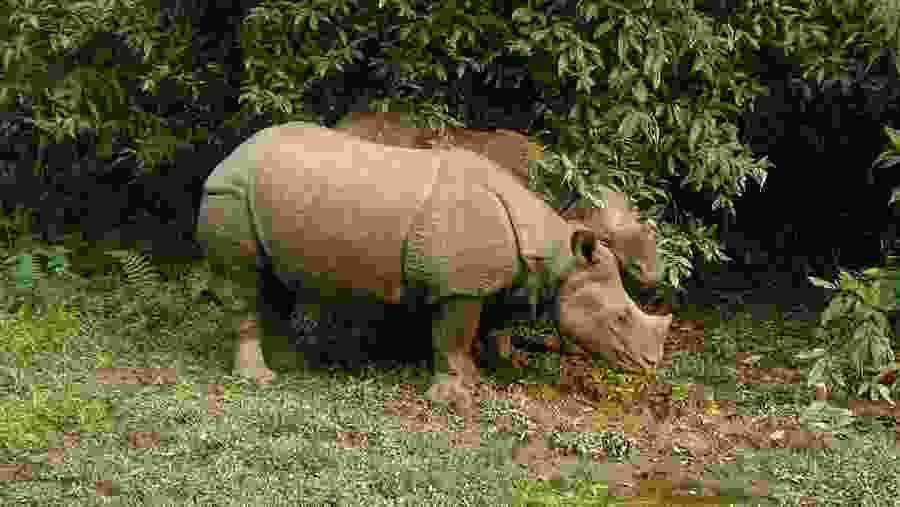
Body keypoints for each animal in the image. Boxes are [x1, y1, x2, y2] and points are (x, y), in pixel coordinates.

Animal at [196, 122, 672, 411]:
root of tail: (228, 156)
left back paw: (287, 364)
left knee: (275, 281)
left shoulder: (490, 280)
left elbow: (474, 333)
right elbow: (452, 336)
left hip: (258, 194)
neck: (556, 254)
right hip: (229, 193)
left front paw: (474, 380)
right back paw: (259, 379)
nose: (651, 364)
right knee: (244, 281)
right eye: (620, 317)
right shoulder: (459, 287)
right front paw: (452, 400)